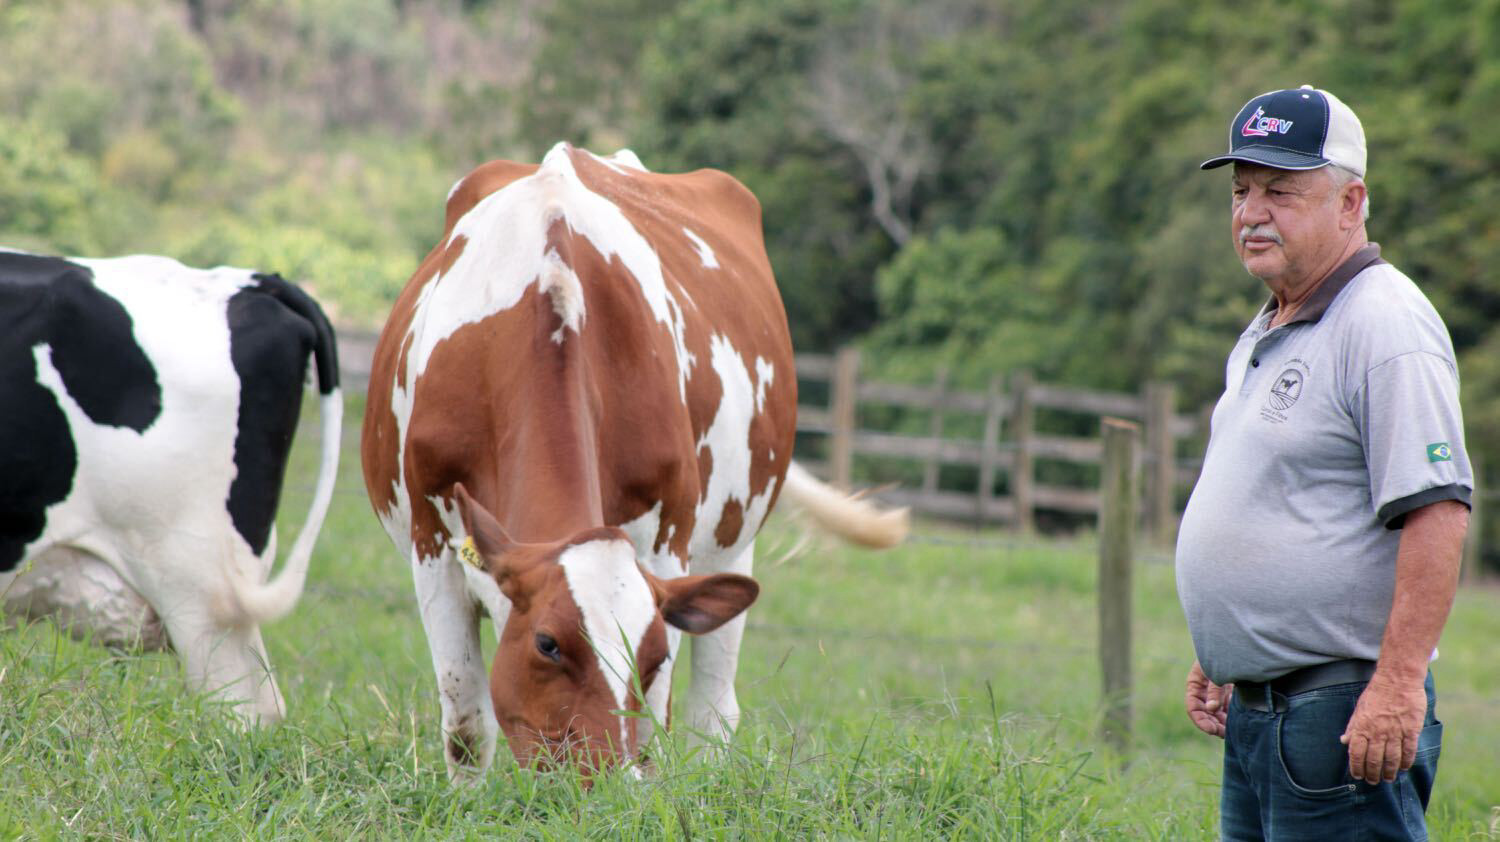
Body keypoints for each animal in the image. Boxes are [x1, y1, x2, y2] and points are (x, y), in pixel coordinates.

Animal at [363, 141, 900, 780]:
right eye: (547, 643)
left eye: (655, 655)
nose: (605, 781)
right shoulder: (433, 544)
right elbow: (466, 721)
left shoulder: (668, 543)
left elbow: (654, 725)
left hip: (733, 544)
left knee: (714, 709)